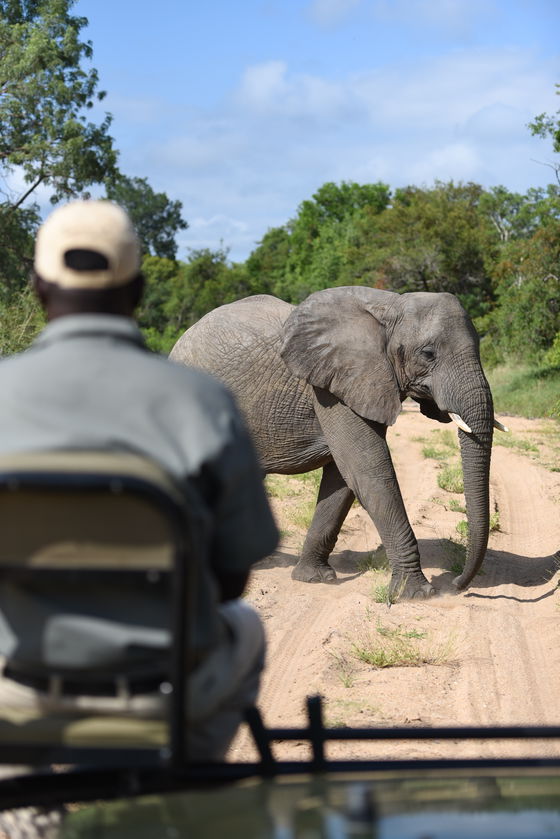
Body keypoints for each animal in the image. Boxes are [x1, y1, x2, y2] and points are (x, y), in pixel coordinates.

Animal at [170, 286, 502, 599]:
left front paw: (314, 578)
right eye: (428, 354)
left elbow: (344, 478)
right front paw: (415, 595)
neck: (390, 306)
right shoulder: (331, 389)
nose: (457, 584)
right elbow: (368, 469)